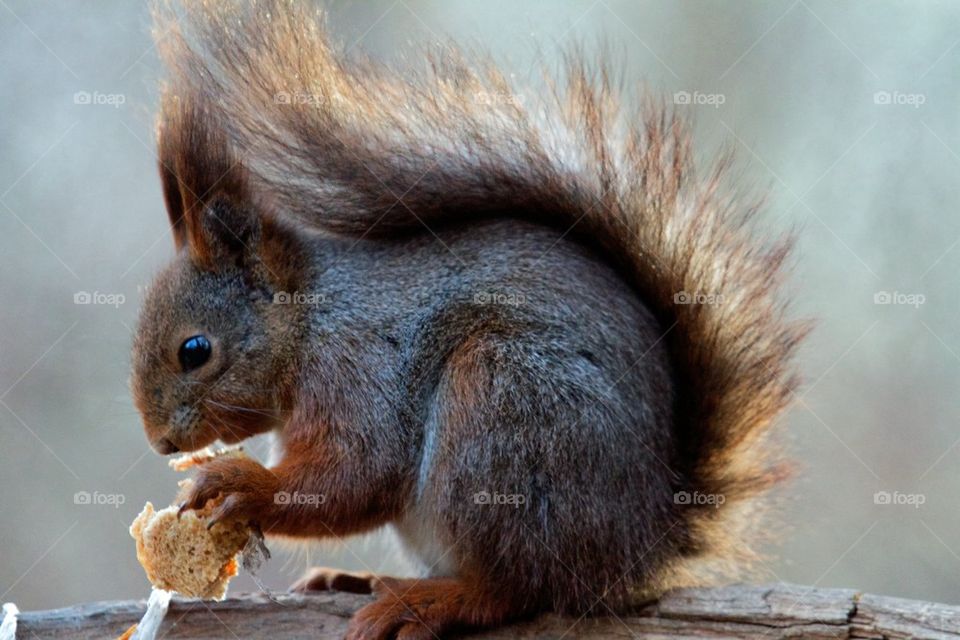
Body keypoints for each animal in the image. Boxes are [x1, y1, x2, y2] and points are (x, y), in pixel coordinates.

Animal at [127, 2, 804, 636]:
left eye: (195, 350)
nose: (161, 443)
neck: (310, 321)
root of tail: (642, 543)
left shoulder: (359, 367)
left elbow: (357, 474)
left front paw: (243, 484)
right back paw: (362, 579)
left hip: (503, 411)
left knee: (516, 589)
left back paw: (432, 600)